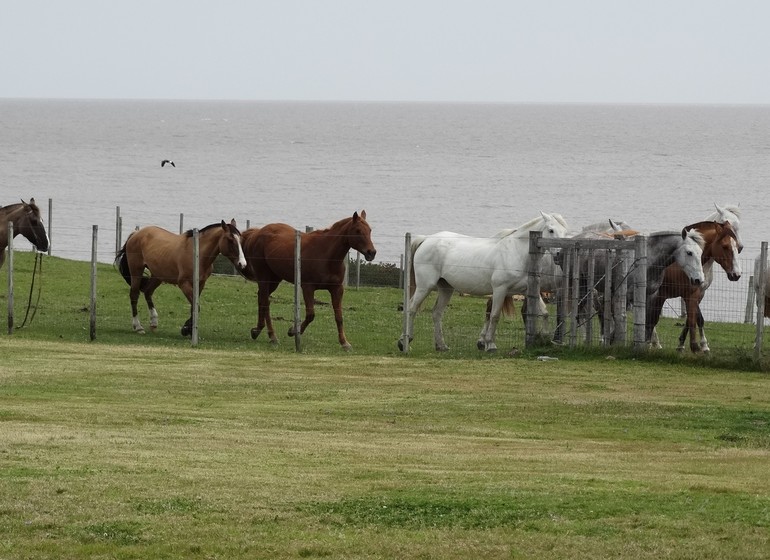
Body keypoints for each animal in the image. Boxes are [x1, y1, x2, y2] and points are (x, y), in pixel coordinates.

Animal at [114, 222, 244, 336]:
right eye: (230, 240)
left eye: (240, 240)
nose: (242, 263)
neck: (197, 254)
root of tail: (136, 233)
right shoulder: (184, 284)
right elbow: (196, 306)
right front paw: (186, 329)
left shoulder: (200, 284)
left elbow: (194, 307)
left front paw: (188, 329)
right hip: (136, 272)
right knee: (134, 295)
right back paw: (138, 326)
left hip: (157, 276)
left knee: (147, 292)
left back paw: (154, 322)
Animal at [238, 211, 374, 350]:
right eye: (358, 231)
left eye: (369, 230)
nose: (371, 252)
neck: (326, 255)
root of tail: (257, 233)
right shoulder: (308, 287)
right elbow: (310, 315)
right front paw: (293, 331)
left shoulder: (337, 289)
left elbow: (339, 317)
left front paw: (344, 343)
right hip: (264, 277)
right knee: (265, 302)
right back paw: (271, 336)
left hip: (275, 279)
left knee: (262, 299)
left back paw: (258, 331)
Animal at [400, 212, 568, 352]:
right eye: (551, 230)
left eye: (565, 232)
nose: (559, 254)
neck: (515, 253)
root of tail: (426, 239)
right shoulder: (500, 290)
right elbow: (494, 316)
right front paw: (490, 345)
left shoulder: (527, 291)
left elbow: (544, 312)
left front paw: (546, 338)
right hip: (425, 287)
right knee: (412, 309)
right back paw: (404, 342)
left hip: (446, 289)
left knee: (436, 313)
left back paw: (441, 345)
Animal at [644, 221, 740, 352]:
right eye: (725, 246)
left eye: (738, 247)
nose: (736, 274)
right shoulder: (665, 295)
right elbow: (653, 319)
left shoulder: (697, 294)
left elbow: (694, 319)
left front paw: (693, 345)